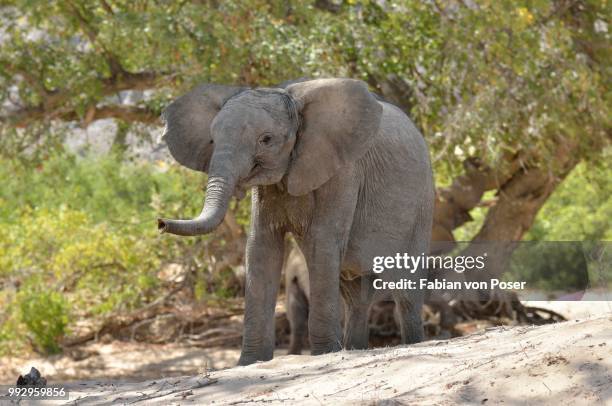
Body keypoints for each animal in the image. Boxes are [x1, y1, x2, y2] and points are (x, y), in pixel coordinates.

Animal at [158, 77, 436, 364]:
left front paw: (325, 353)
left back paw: (410, 342)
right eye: (212, 139)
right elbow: (261, 247)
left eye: (266, 140)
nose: (160, 223)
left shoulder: (343, 171)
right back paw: (354, 349)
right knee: (357, 298)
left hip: (422, 210)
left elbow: (321, 242)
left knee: (406, 292)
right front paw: (250, 362)